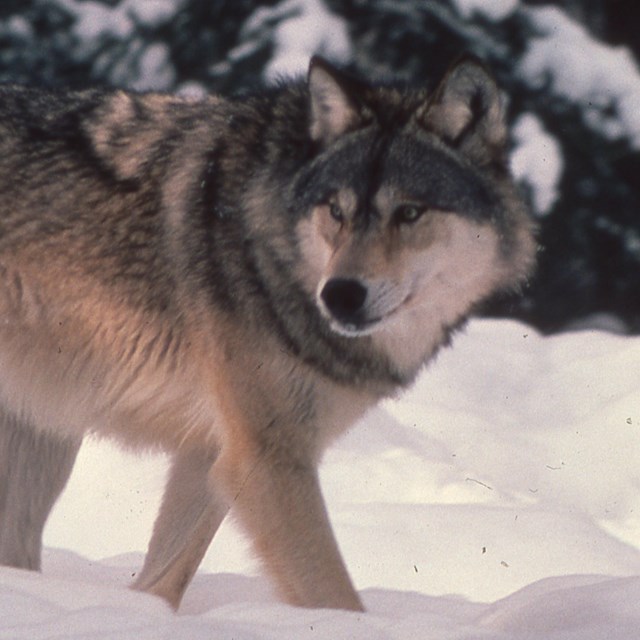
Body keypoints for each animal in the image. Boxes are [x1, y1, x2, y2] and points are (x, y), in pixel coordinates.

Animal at [0, 57, 536, 612]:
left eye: (409, 212)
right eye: (336, 211)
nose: (340, 294)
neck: (263, 240)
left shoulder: (212, 453)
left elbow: (162, 580)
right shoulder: (269, 460)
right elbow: (332, 594)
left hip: (45, 428)